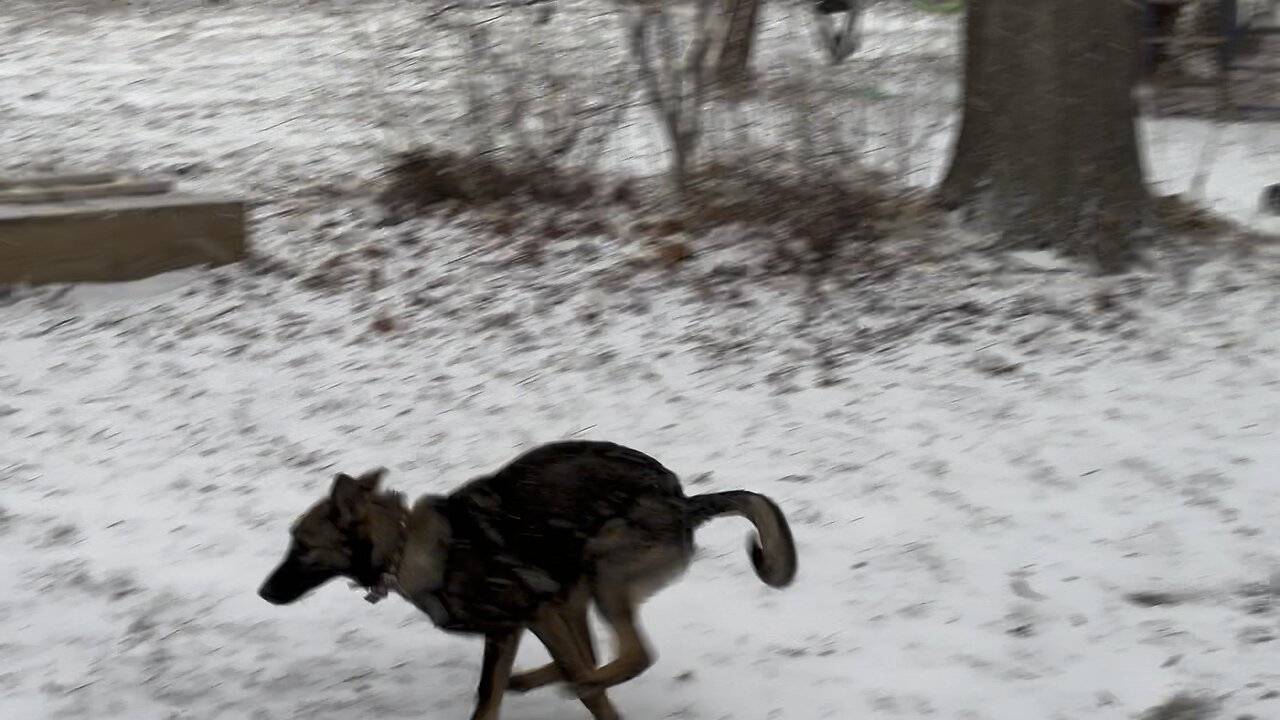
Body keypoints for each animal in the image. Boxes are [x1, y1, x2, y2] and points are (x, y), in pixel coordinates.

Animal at [258, 438, 793, 717]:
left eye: (301, 547)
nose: (263, 593)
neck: (405, 545)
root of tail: (682, 501)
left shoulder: (526, 616)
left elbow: (491, 695)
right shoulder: (525, 621)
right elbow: (501, 689)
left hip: (602, 574)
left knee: (631, 656)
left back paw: (579, 682)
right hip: (578, 590)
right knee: (595, 656)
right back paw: (547, 679)